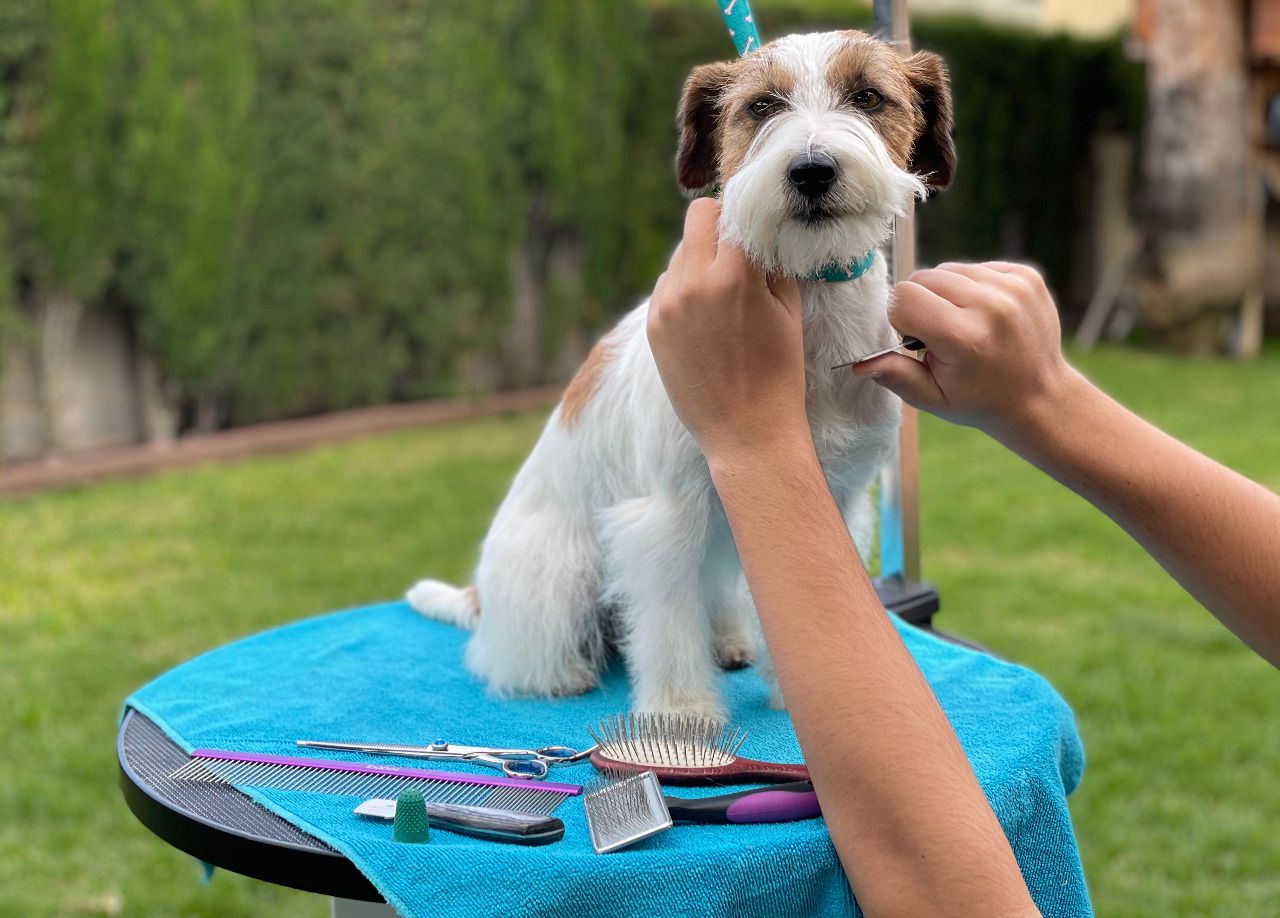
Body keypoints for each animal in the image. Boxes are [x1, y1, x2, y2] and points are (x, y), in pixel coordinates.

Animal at [404, 28, 957, 722]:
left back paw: (728, 639)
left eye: (868, 97)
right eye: (761, 106)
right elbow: (666, 623)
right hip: (559, 572)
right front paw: (679, 712)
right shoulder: (665, 515)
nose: (811, 169)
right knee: (513, 655)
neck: (809, 308)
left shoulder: (841, 500)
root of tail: (483, 599)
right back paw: (556, 673)